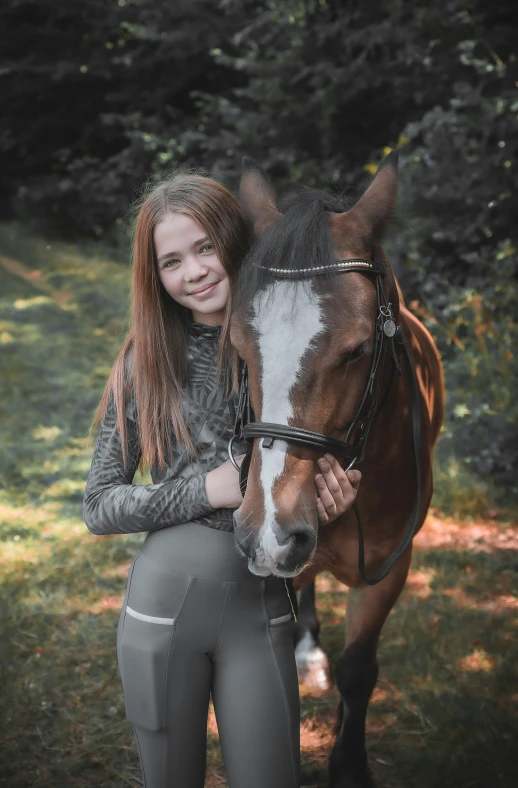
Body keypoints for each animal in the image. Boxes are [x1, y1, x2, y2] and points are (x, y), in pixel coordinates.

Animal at [232, 149, 446, 788]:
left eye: (356, 351)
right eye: (239, 348)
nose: (268, 529)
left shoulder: (389, 572)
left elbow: (359, 671)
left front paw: (349, 767)